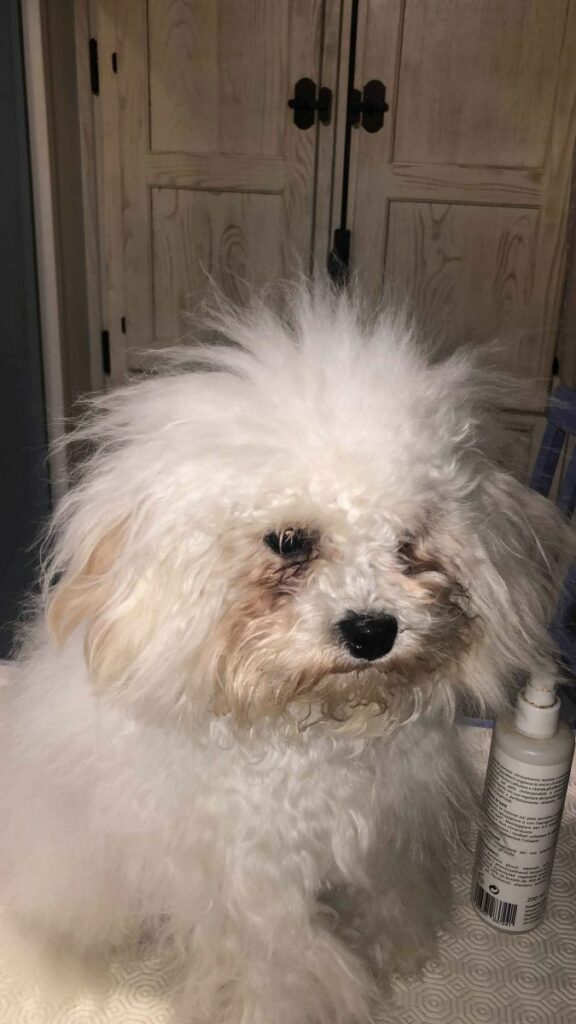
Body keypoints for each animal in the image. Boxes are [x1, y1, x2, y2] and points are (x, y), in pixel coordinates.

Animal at [0, 286, 567, 1023]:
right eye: (290, 541)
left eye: (409, 541)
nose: (371, 632)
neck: (307, 731)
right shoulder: (252, 886)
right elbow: (287, 968)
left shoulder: (385, 835)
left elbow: (388, 897)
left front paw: (395, 946)